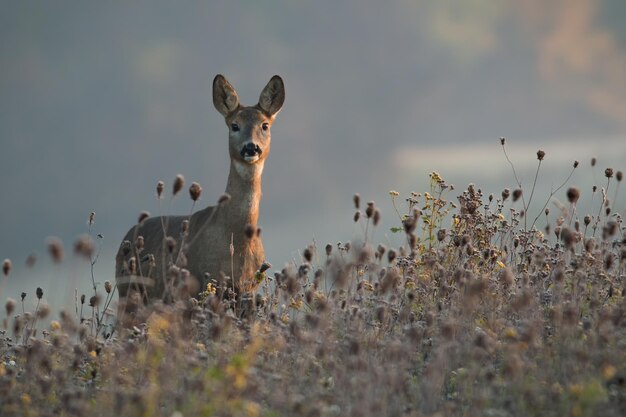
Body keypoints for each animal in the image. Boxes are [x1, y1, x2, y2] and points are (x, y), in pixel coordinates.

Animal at [115, 75, 286, 320]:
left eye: (265, 125)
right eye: (234, 125)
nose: (251, 148)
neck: (234, 237)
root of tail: (127, 237)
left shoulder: (247, 291)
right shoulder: (204, 286)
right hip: (129, 292)